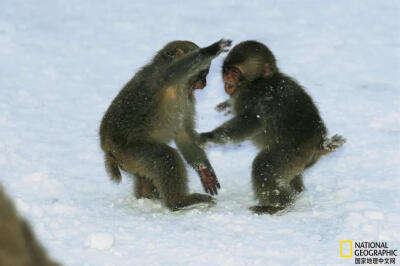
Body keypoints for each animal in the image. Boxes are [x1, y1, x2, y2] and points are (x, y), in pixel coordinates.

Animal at [99, 39, 233, 210]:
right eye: (203, 73)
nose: (204, 83)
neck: (178, 87)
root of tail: (108, 150)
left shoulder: (188, 96)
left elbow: (183, 133)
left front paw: (204, 170)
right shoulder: (162, 76)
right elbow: (176, 69)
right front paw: (212, 49)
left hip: (130, 161)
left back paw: (148, 196)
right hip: (128, 152)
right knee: (165, 157)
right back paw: (179, 202)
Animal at [198, 40, 346, 214]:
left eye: (235, 71)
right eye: (227, 69)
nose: (226, 77)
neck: (258, 81)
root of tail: (320, 143)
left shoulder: (259, 98)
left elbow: (248, 124)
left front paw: (209, 137)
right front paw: (226, 106)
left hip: (293, 152)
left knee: (264, 166)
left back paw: (279, 206)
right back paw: (296, 193)